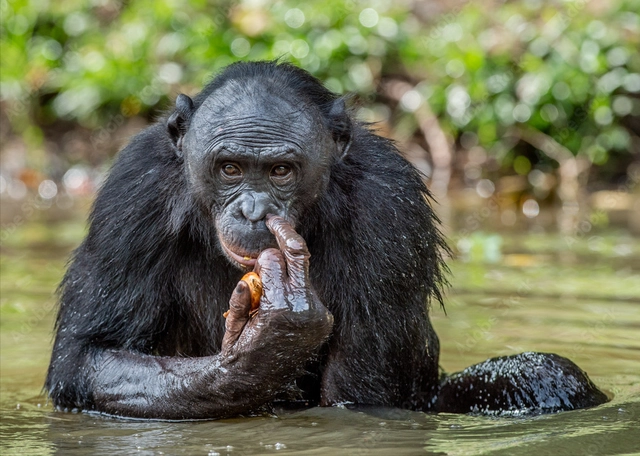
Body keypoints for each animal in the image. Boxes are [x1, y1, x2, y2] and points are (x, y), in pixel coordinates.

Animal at [43, 61, 604, 420]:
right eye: (230, 168)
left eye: (280, 170)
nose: (253, 209)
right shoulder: (131, 194)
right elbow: (89, 355)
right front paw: (264, 347)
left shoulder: (391, 205)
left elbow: (358, 398)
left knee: (542, 373)